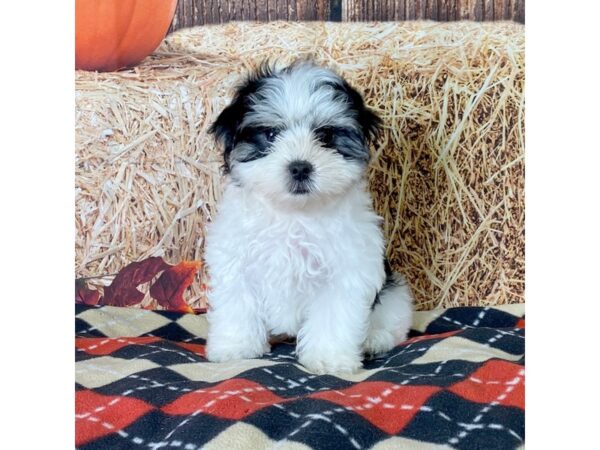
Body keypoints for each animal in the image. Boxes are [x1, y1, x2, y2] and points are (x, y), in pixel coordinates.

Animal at [203, 61, 412, 374]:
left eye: (325, 136)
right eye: (271, 135)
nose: (300, 167)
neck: (294, 214)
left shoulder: (347, 270)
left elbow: (334, 315)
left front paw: (329, 357)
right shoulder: (237, 261)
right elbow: (238, 305)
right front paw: (235, 347)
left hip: (394, 292)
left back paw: (374, 339)